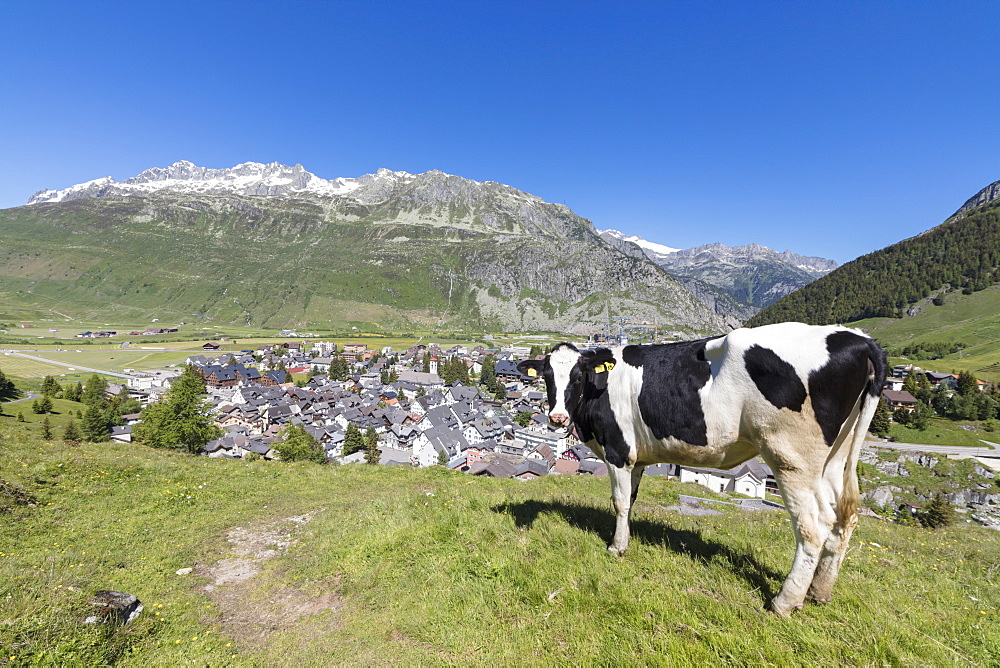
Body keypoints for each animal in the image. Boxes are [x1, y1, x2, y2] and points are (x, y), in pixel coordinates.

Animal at [520, 322, 888, 616]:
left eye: (578, 377)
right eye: (548, 377)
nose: (557, 417)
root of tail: (858, 339)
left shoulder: (619, 450)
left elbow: (620, 502)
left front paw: (617, 547)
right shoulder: (639, 456)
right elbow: (633, 500)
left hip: (792, 458)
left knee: (813, 528)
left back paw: (785, 602)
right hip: (835, 457)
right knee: (843, 518)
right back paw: (819, 591)